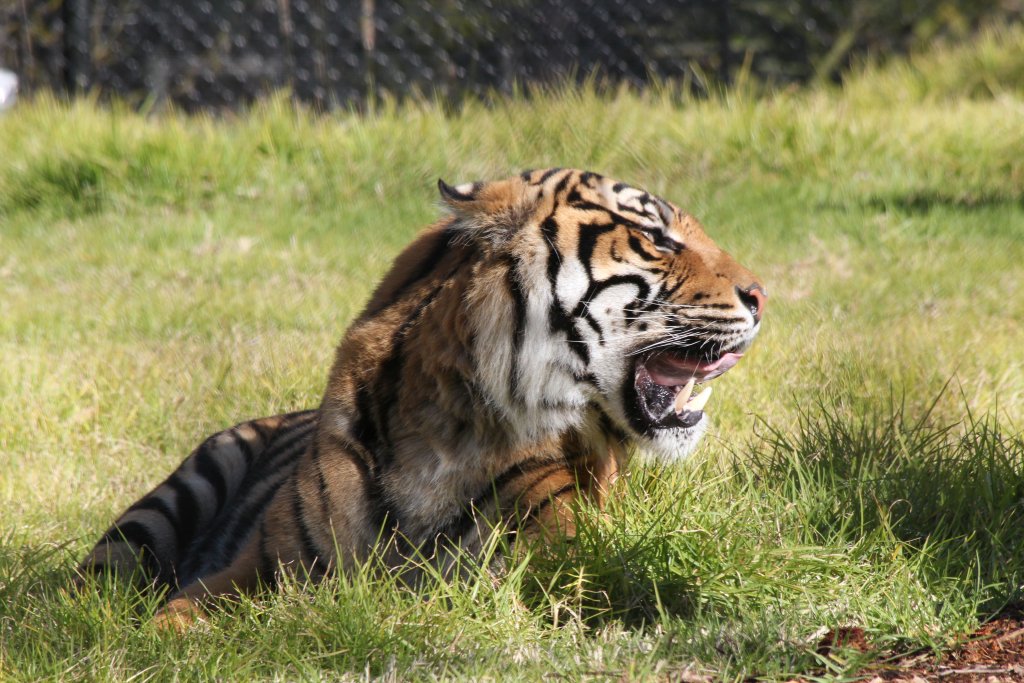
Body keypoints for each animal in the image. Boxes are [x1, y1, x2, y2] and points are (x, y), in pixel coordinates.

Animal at [78, 168, 766, 628]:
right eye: (658, 237)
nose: (763, 295)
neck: (445, 435)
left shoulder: (561, 560)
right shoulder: (257, 568)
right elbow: (175, 618)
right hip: (164, 507)